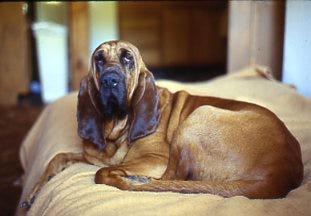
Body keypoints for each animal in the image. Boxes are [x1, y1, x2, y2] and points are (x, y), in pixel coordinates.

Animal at [22, 40, 304, 209]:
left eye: (127, 58)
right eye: (99, 59)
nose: (110, 80)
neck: (117, 128)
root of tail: (283, 171)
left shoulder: (154, 158)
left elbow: (104, 169)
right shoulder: (90, 155)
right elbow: (58, 157)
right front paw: (34, 191)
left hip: (199, 115)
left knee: (172, 178)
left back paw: (137, 178)